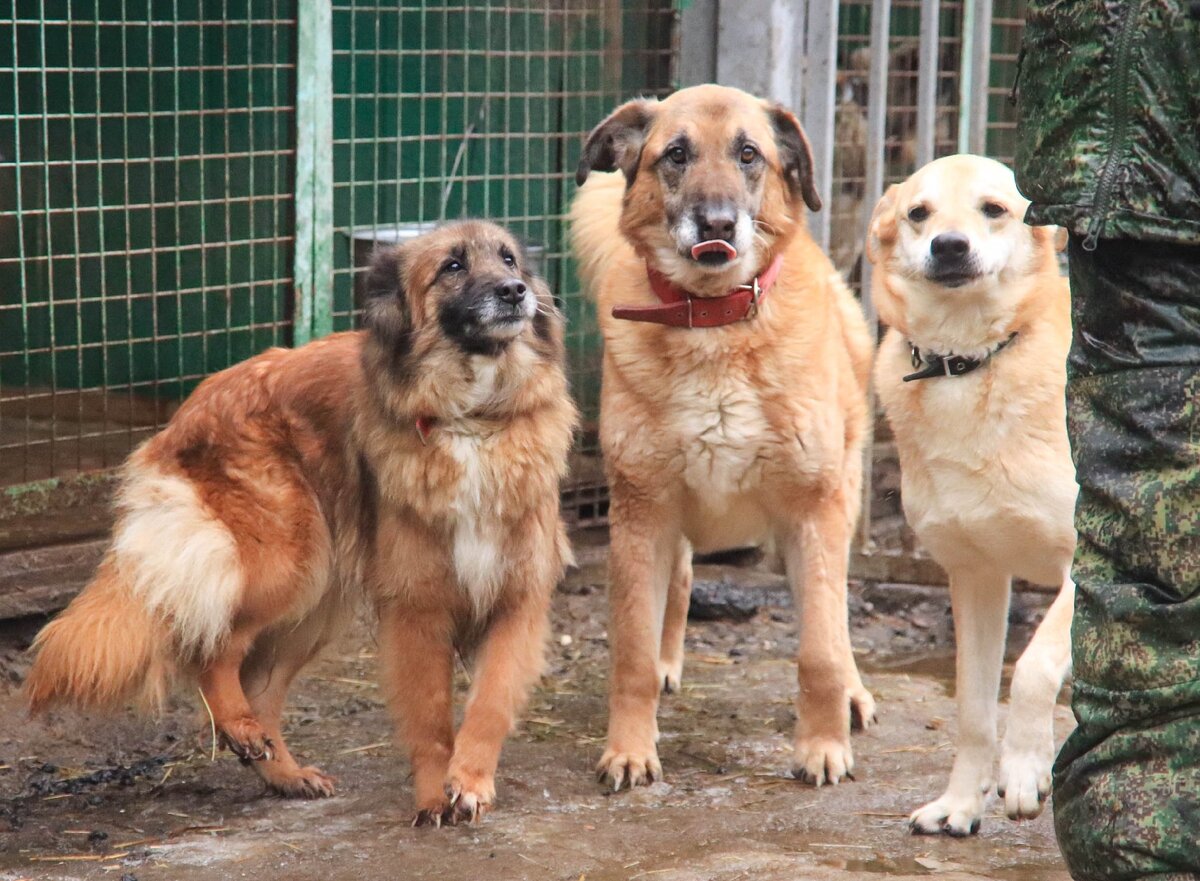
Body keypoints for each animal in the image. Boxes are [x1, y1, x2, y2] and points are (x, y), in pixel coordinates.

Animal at [23, 220, 576, 825]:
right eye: (452, 266)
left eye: (510, 260)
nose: (515, 292)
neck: (473, 419)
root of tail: (185, 414)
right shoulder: (418, 608)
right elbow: (431, 720)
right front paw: (434, 796)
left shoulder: (517, 600)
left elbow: (490, 704)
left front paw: (470, 782)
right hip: (288, 567)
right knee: (211, 651)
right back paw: (239, 726)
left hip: (316, 602)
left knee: (259, 691)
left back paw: (283, 772)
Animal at [568, 82, 873, 792]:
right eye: (676, 154)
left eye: (749, 154)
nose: (716, 224)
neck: (713, 322)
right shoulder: (641, 514)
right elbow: (630, 654)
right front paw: (630, 748)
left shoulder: (814, 514)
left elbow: (820, 649)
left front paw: (823, 746)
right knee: (680, 585)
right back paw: (667, 665)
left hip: (838, 508)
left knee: (836, 619)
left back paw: (852, 695)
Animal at [868, 154, 1075, 840]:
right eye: (919, 213)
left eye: (994, 209)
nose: (950, 246)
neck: (971, 363)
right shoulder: (976, 576)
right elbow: (972, 708)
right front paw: (960, 803)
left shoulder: (1084, 571)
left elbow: (1033, 669)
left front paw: (1024, 770)